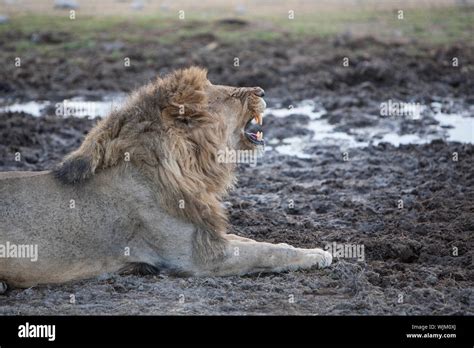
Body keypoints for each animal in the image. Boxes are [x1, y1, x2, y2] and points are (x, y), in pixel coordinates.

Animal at [0, 66, 330, 290]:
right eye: (230, 96)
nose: (261, 91)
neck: (190, 168)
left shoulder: (207, 233)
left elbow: (258, 241)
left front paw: (309, 249)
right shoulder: (201, 256)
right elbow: (267, 252)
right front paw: (319, 254)